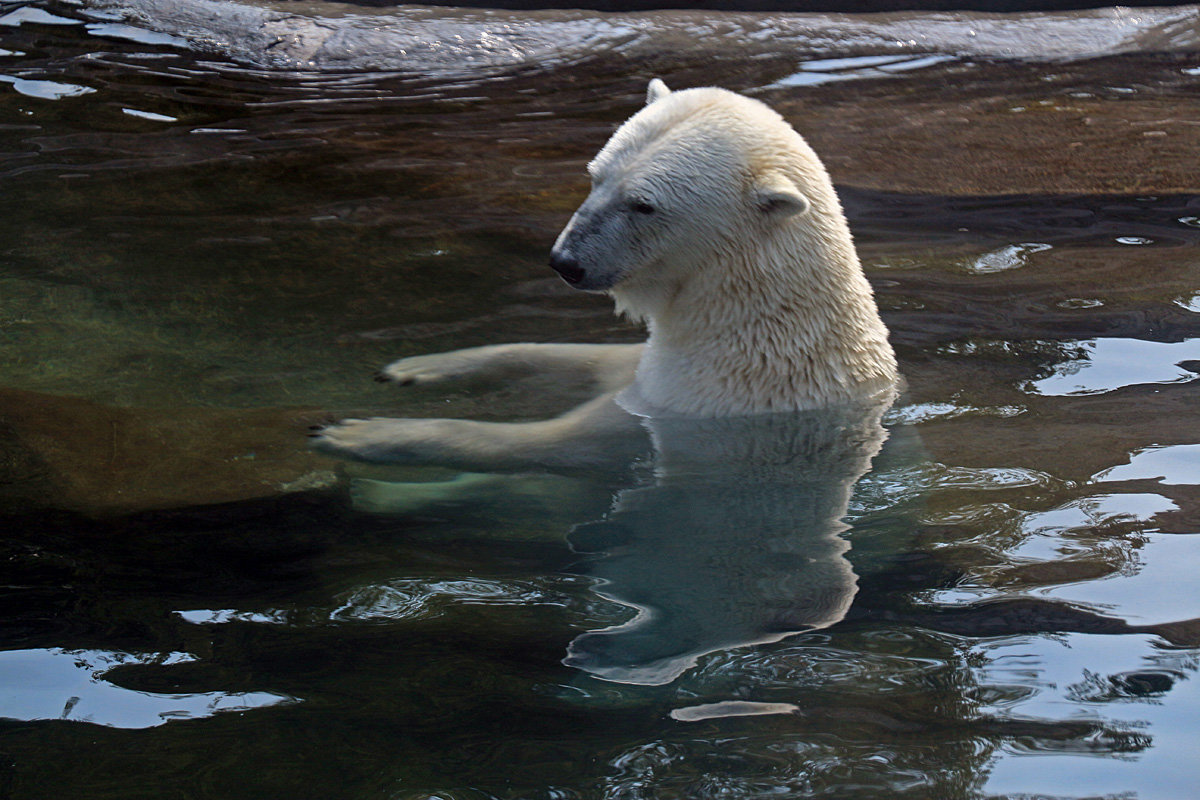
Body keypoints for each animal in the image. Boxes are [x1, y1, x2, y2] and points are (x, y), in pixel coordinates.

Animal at [314, 77, 897, 470]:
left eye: (643, 205)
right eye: (596, 175)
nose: (564, 262)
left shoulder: (686, 413)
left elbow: (552, 442)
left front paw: (357, 432)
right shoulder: (649, 378)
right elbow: (576, 357)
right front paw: (415, 367)